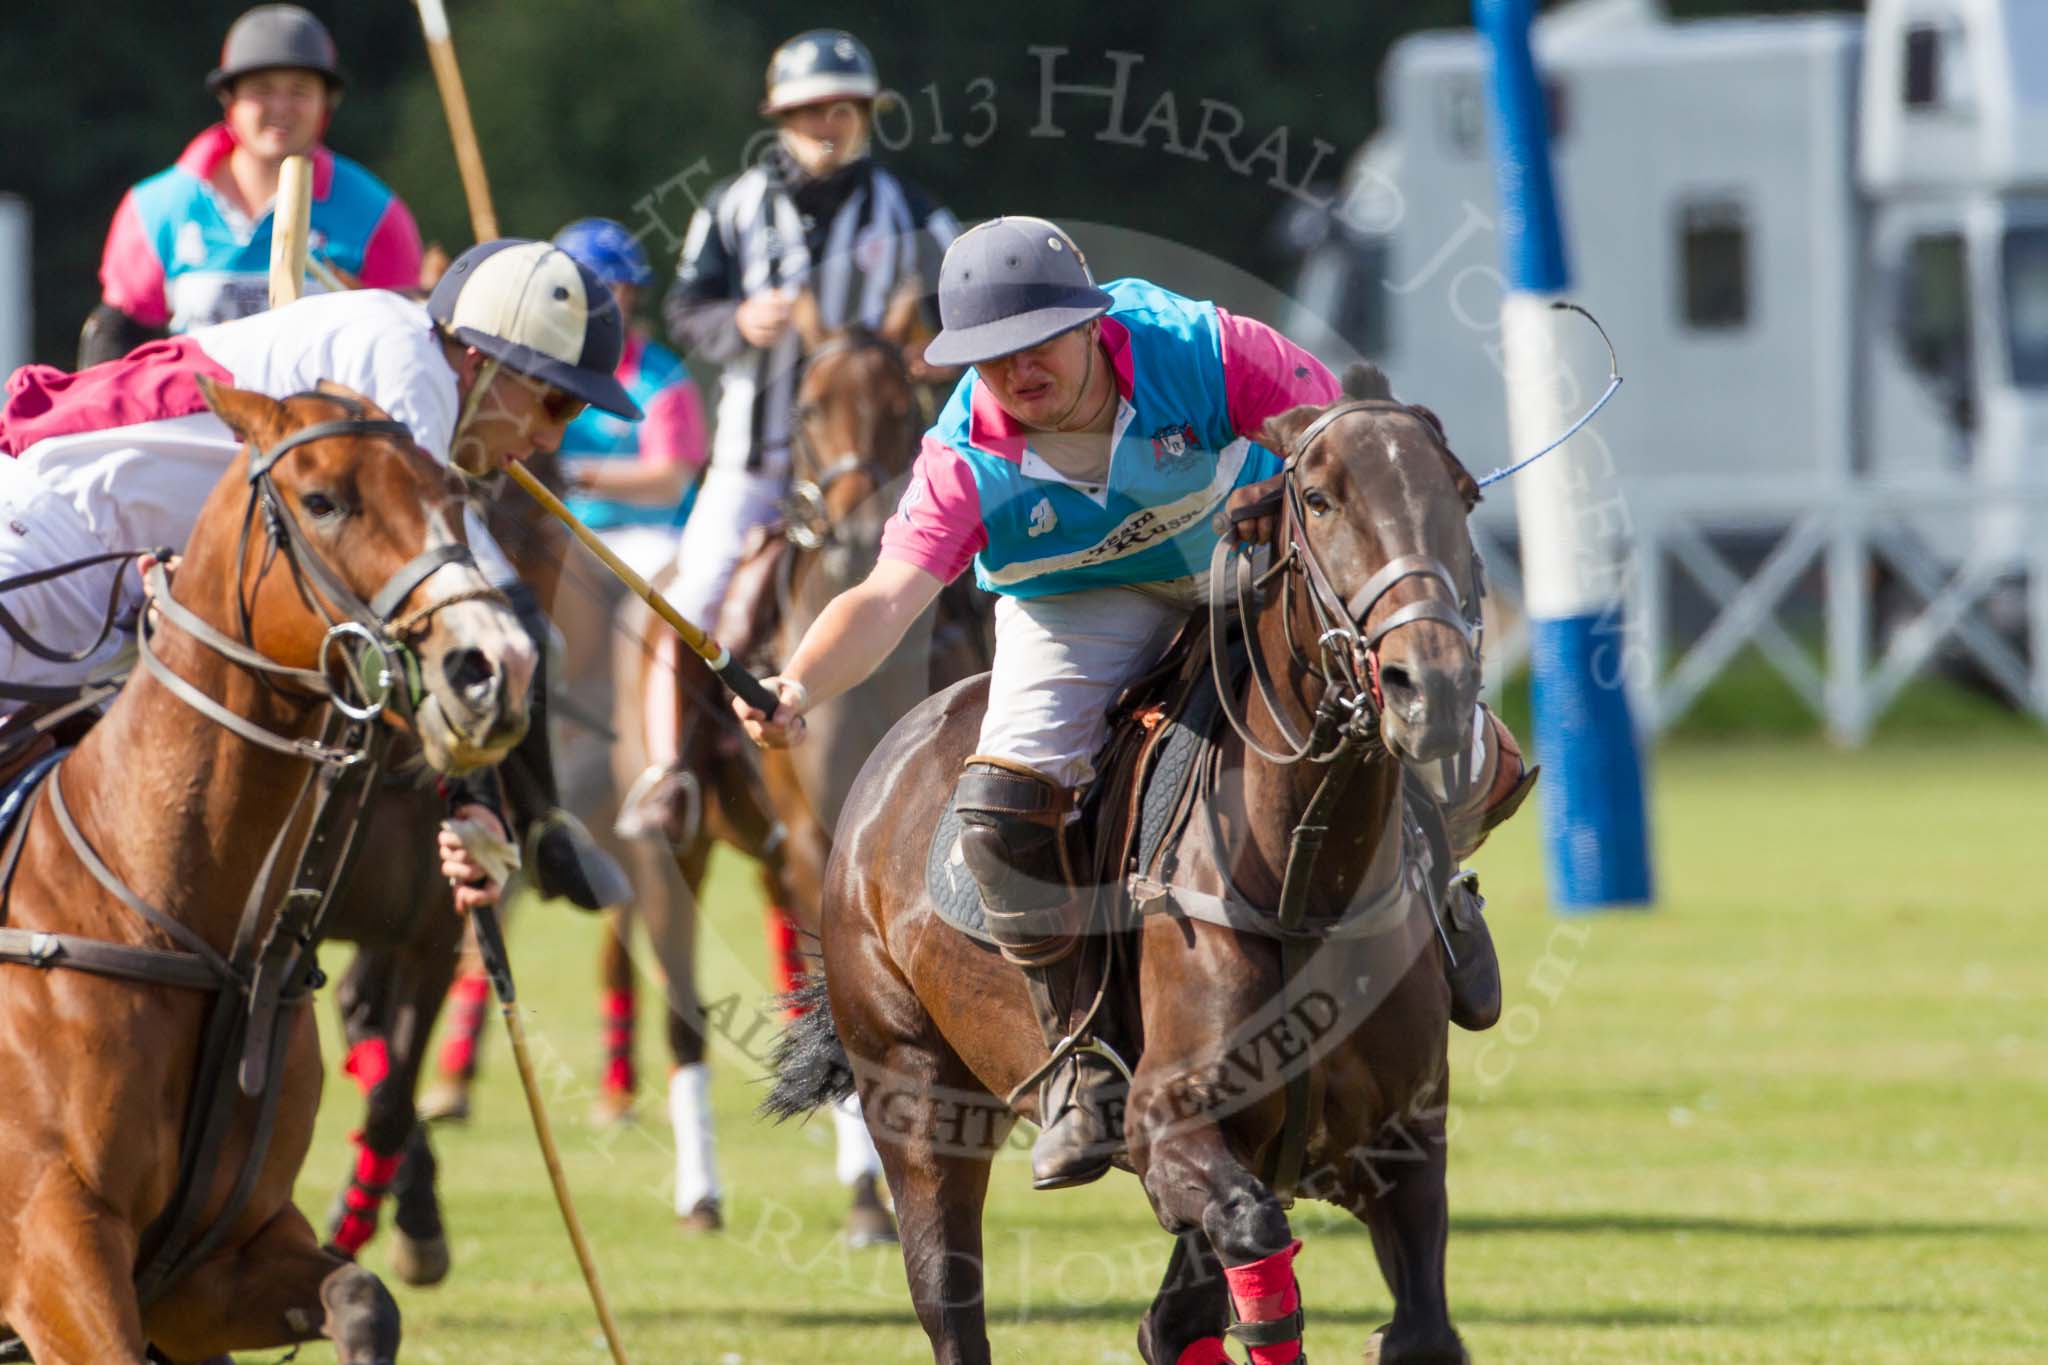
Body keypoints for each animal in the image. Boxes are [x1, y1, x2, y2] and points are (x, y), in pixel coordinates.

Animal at [0, 384, 536, 1365]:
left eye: (450, 492)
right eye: (322, 500)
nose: (495, 668)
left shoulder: (211, 1261)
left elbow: (363, 1298)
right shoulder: (51, 1243)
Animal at [606, 282, 991, 1244]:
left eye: (905, 408)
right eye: (809, 407)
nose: (856, 536)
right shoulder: (824, 839)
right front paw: (868, 1198)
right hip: (674, 852)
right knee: (684, 1019)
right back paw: (701, 1194)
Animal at [770, 366, 1490, 1365]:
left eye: (1461, 493)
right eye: (1318, 498)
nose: (1436, 686)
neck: (1303, 878)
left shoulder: (1405, 1141)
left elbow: (1419, 1330)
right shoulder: (1168, 1127)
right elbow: (1256, 1247)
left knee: (1169, 1321)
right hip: (912, 1096)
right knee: (952, 1301)